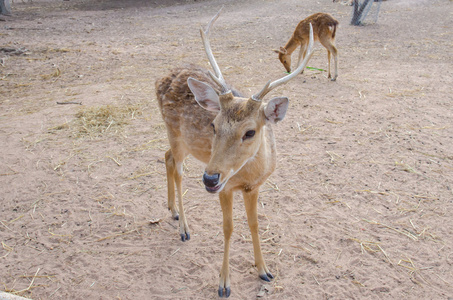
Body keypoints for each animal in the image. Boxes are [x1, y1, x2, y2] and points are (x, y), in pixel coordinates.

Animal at [155, 7, 314, 298]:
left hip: (180, 141)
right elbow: (228, 228)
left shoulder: (255, 187)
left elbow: (254, 223)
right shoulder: (226, 188)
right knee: (177, 168)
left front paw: (264, 271)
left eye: (250, 132)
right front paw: (224, 284)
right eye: (213, 125)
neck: (245, 176)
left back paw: (172, 210)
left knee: (166, 156)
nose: (210, 178)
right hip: (174, 133)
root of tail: (161, 77)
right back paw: (184, 229)